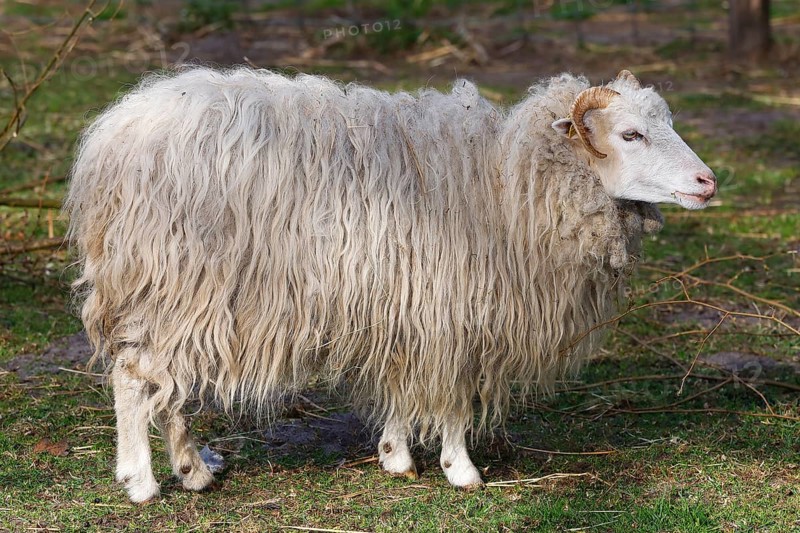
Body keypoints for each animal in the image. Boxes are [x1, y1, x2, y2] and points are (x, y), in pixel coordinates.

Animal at [65, 67, 716, 502]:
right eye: (630, 135)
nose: (708, 182)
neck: (507, 183)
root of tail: (111, 138)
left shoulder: (408, 307)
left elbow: (402, 386)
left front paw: (395, 455)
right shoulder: (450, 310)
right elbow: (452, 395)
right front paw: (461, 469)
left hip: (179, 298)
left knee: (167, 390)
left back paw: (195, 469)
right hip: (179, 283)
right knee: (134, 378)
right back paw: (142, 482)